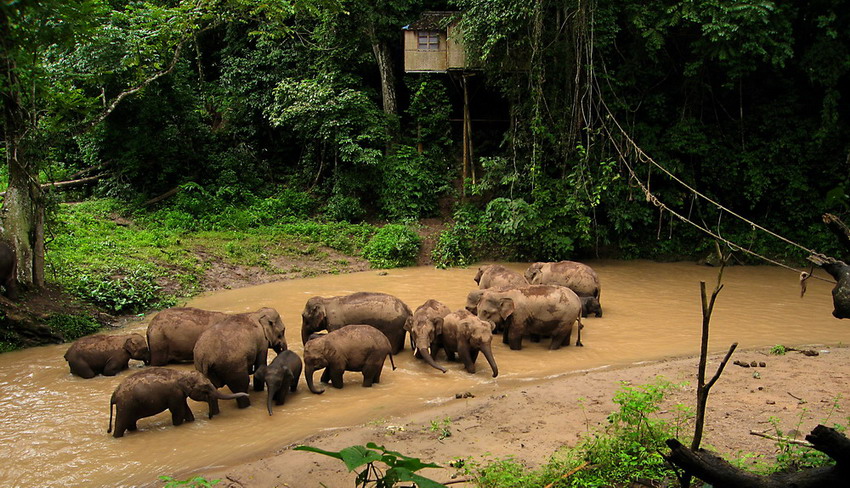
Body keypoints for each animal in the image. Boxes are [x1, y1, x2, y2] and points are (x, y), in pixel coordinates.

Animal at [105, 366, 245, 438]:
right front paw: (177, 426)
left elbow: (186, 411)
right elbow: (179, 412)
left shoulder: (180, 395)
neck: (182, 374)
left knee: (130, 423)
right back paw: (117, 437)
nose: (210, 417)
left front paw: (191, 422)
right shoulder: (174, 394)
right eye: (205, 388)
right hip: (125, 405)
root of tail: (114, 394)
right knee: (121, 424)